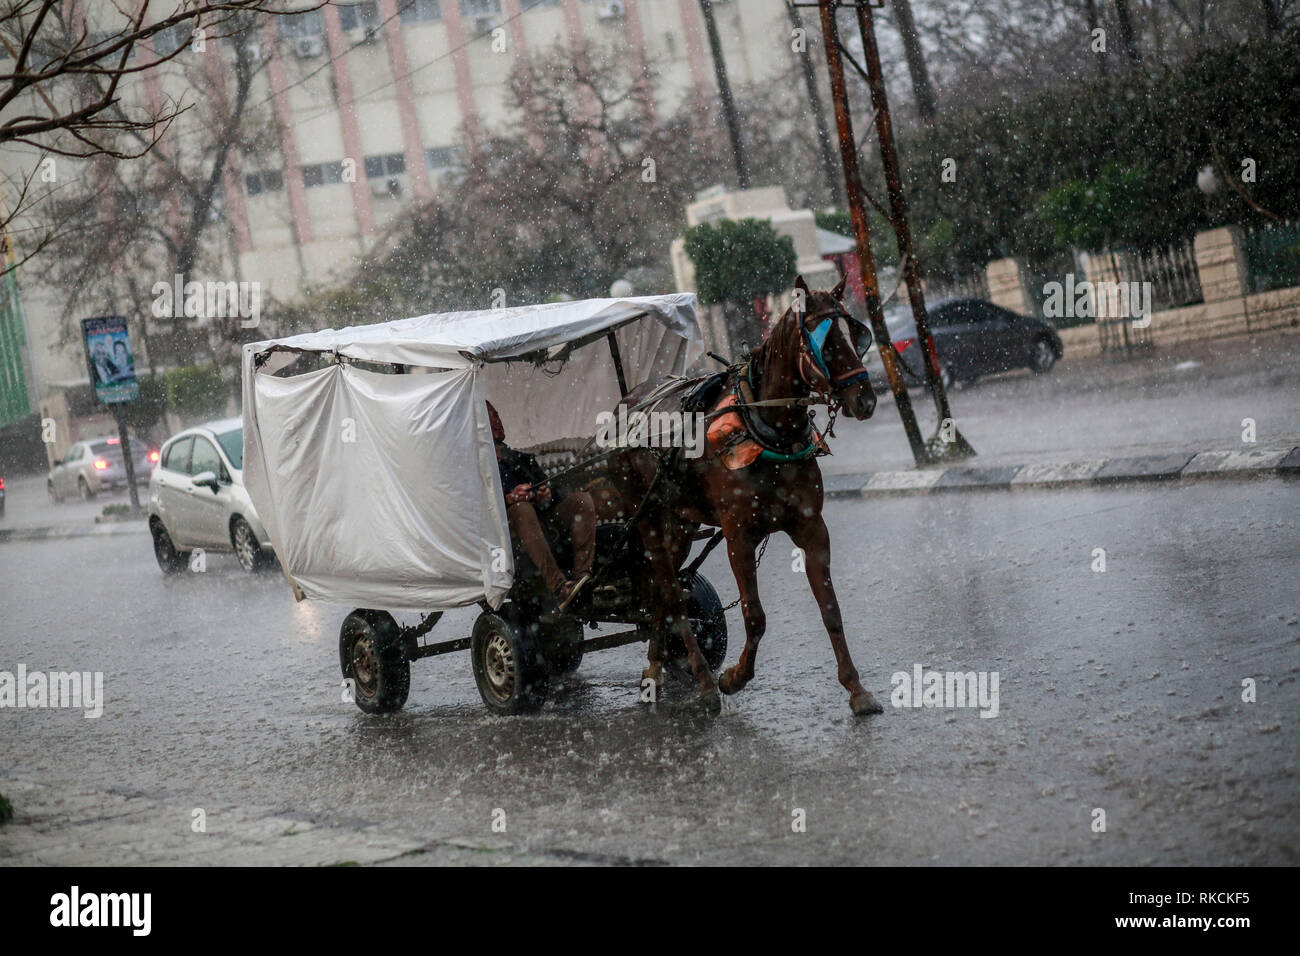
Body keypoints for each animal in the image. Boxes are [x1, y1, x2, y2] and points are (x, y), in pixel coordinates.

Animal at [608, 273, 883, 712]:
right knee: (671, 595)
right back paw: (704, 680)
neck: (764, 428)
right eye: (824, 341)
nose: (867, 399)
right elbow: (755, 616)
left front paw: (856, 688)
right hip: (647, 518)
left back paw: (655, 667)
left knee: (662, 594)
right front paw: (735, 677)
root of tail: (629, 402)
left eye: (856, 334)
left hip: (679, 524)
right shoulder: (739, 536)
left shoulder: (812, 527)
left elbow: (831, 610)